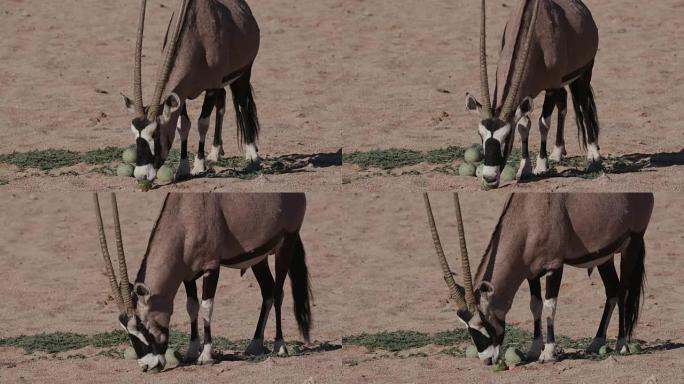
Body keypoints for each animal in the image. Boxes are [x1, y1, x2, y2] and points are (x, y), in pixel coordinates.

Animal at [94, 192, 312, 372]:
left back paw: (280, 346)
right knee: (267, 291)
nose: (147, 366)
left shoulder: (211, 267)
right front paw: (191, 352)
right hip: (259, 257)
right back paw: (255, 345)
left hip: (287, 242)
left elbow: (207, 306)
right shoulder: (187, 275)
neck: (184, 217)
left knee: (277, 292)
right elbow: (191, 307)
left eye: (142, 325)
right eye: (126, 330)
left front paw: (205, 355)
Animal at [121, 0, 260, 182]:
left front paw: (199, 166)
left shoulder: (211, 88)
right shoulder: (182, 95)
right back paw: (215, 152)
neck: (197, 40)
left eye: (156, 134)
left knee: (242, 105)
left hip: (244, 73)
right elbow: (184, 126)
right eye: (135, 136)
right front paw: (183, 167)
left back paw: (252, 154)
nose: (141, 175)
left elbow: (202, 123)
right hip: (223, 84)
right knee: (222, 104)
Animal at [424, 194, 656, 364]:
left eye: (485, 322)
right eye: (467, 328)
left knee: (624, 291)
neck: (528, 214)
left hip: (632, 242)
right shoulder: (531, 272)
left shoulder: (555, 266)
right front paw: (535, 349)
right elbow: (534, 305)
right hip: (603, 255)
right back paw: (596, 343)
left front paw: (549, 353)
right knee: (613, 290)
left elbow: (549, 305)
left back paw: (621, 344)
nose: (487, 360)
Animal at [464, 0, 604, 189]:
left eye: (507, 137)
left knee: (583, 105)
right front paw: (525, 168)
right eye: (481, 136)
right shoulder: (527, 94)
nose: (489, 178)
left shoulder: (551, 88)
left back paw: (593, 153)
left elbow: (543, 123)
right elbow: (524, 125)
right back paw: (557, 152)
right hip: (561, 84)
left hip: (584, 72)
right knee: (563, 104)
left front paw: (541, 165)